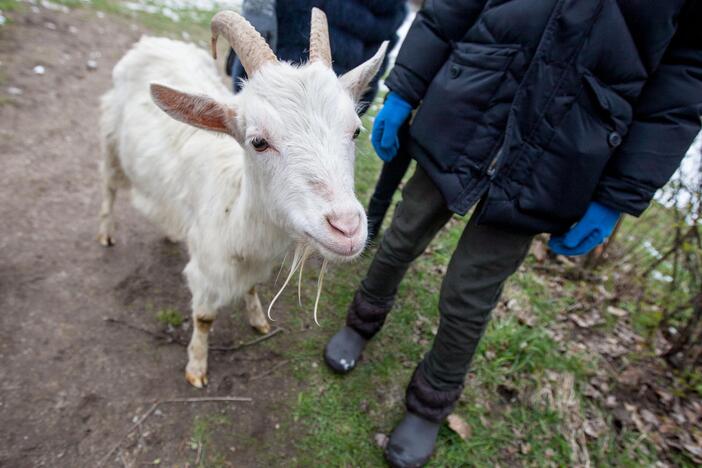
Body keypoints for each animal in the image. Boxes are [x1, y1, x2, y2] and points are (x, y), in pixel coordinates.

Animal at [97, 8, 388, 388]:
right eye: (258, 141)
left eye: (355, 130)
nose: (347, 228)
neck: (236, 214)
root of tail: (152, 41)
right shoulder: (207, 270)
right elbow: (204, 319)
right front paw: (196, 368)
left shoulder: (255, 263)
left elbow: (251, 289)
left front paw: (259, 320)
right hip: (111, 138)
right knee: (109, 185)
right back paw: (106, 233)